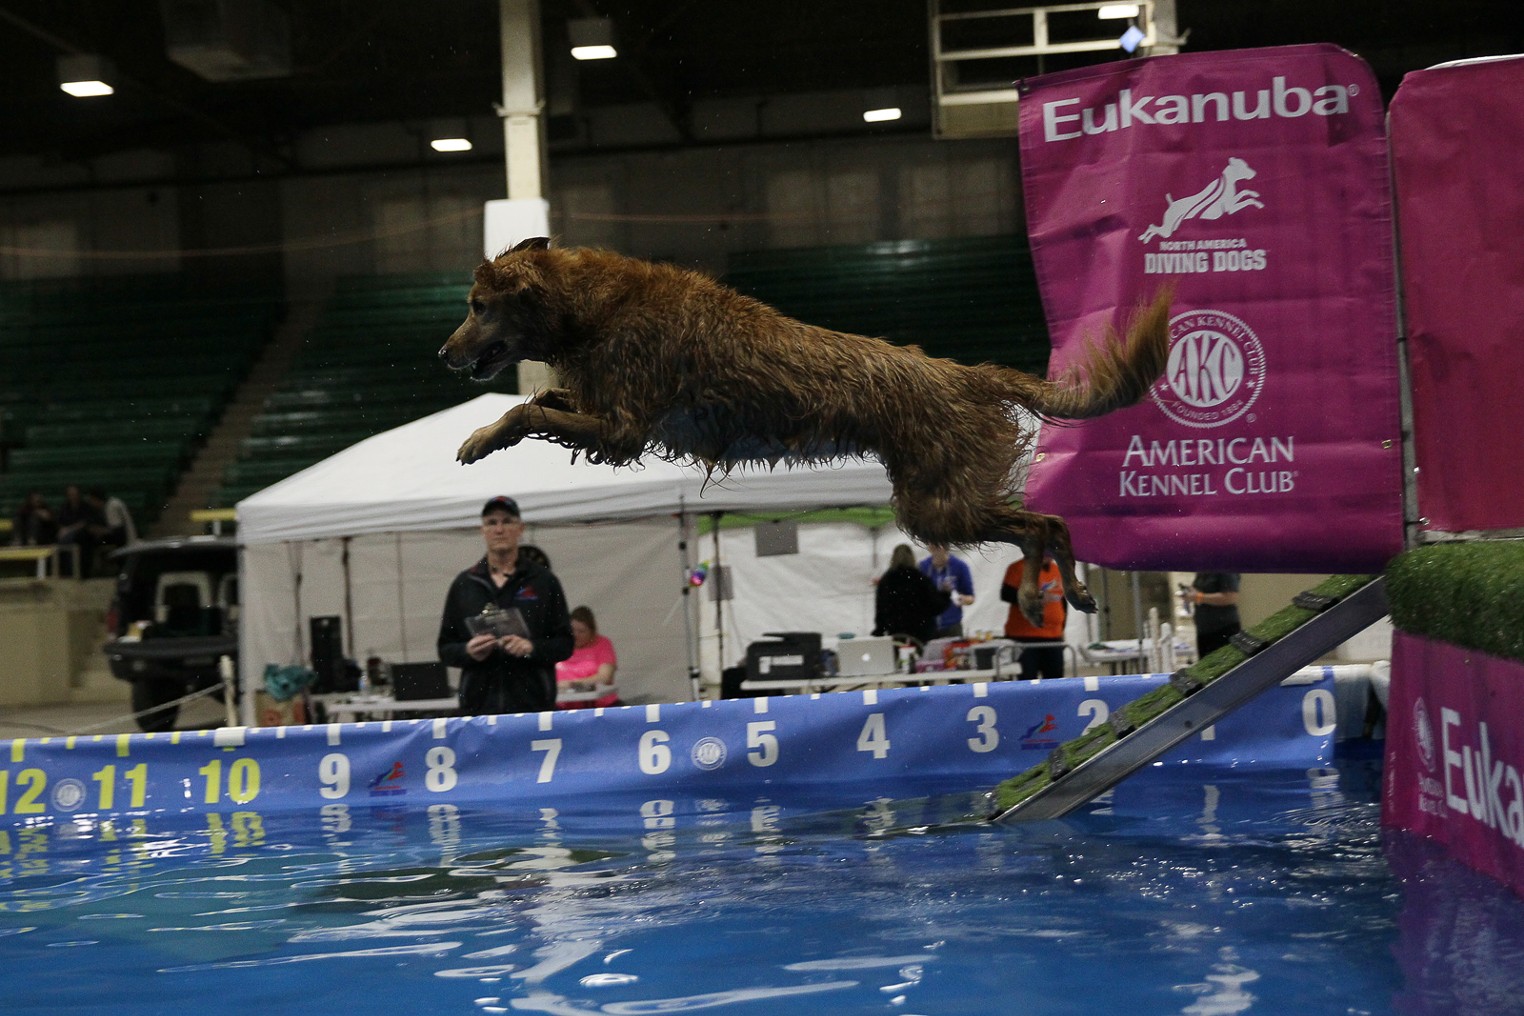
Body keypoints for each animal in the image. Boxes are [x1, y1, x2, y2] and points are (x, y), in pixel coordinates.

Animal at [435, 240, 1170, 621]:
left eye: (477, 306)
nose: (442, 352)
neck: (593, 309)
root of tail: (966, 375)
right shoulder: (606, 413)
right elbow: (539, 400)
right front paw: (483, 434)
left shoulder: (621, 429)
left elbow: (532, 409)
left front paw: (477, 439)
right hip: (938, 500)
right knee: (1043, 524)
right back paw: (1066, 588)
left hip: (936, 502)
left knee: (1044, 523)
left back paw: (1057, 588)